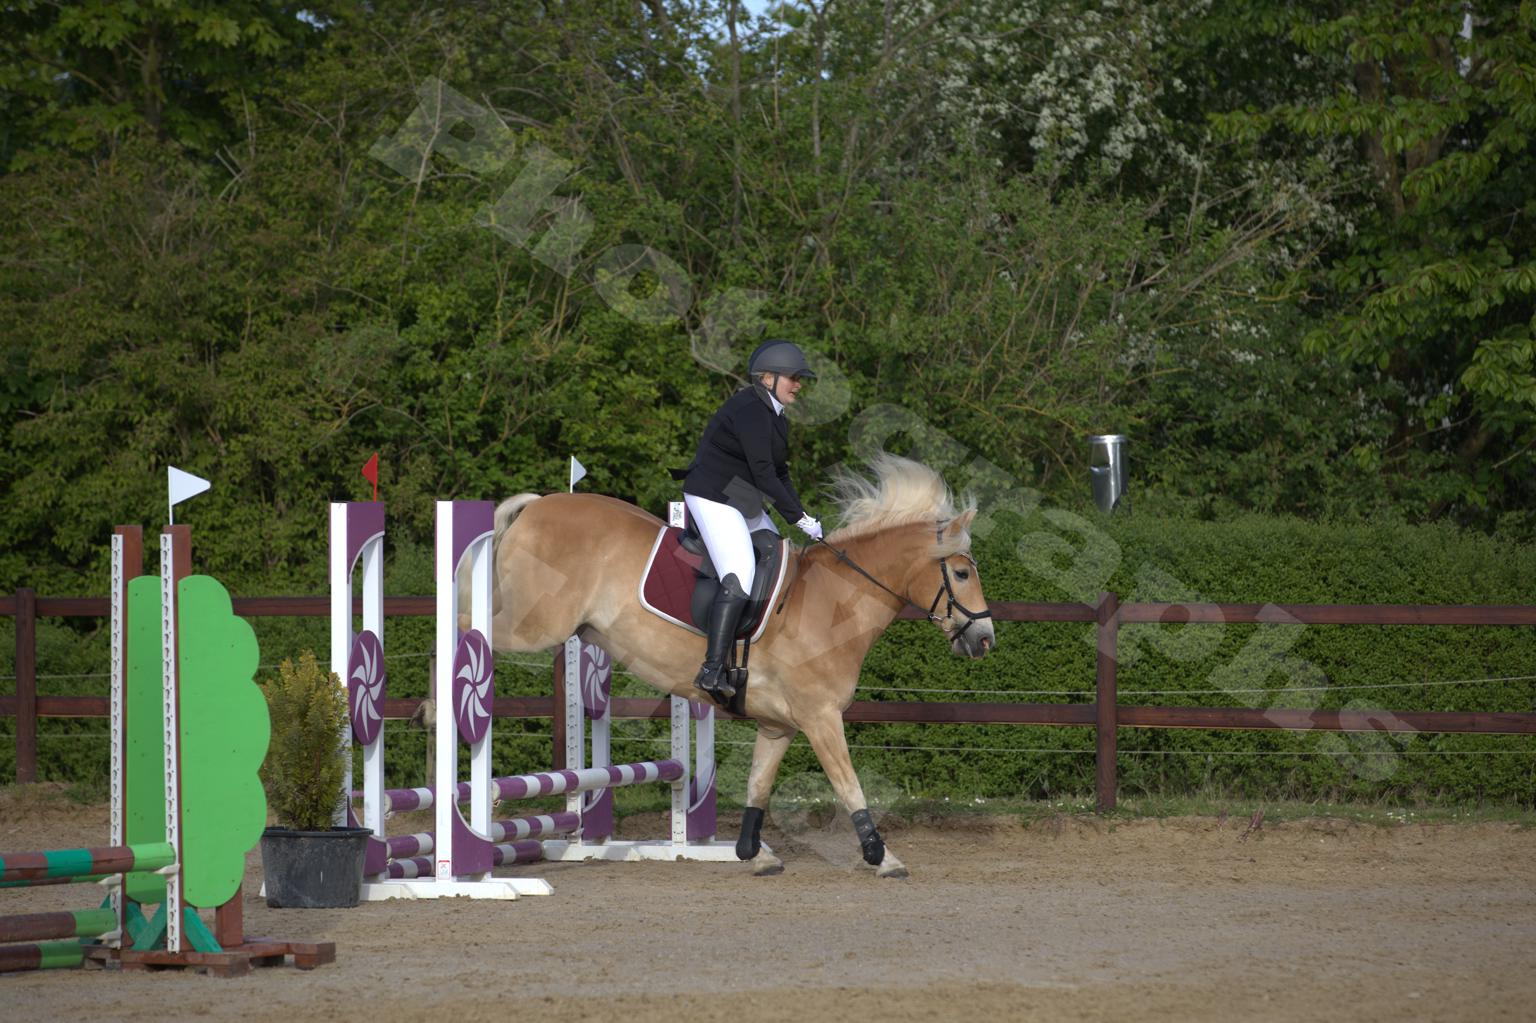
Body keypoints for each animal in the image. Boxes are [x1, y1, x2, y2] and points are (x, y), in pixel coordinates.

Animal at [471, 452, 997, 878]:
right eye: (962, 573)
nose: (985, 639)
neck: (835, 602)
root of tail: (539, 506)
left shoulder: (778, 725)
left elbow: (758, 785)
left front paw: (753, 852)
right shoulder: (821, 718)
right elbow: (849, 786)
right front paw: (881, 856)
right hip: (532, 625)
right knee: (469, 628)